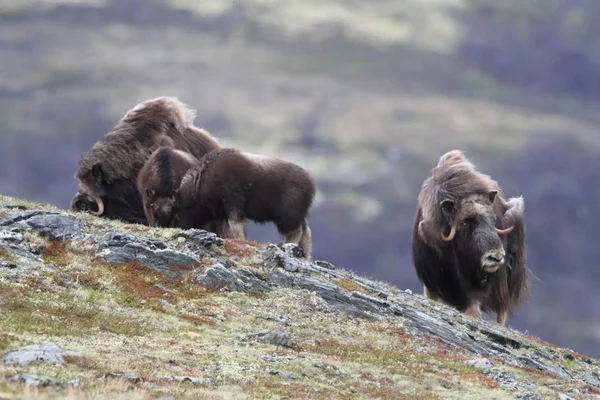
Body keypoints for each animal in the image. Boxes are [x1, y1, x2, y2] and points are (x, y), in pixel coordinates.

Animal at [176, 148, 316, 260]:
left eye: (177, 212)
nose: (181, 227)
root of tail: (310, 183)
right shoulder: (220, 213)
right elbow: (226, 229)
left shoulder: (232, 205)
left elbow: (235, 226)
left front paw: (240, 241)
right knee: (305, 230)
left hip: (287, 217)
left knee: (296, 231)